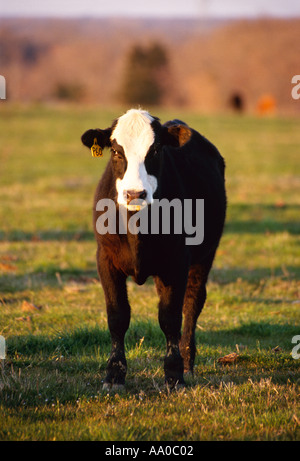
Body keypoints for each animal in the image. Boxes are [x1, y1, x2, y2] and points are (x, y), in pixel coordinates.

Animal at [81, 109, 226, 390]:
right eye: (116, 151)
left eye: (156, 149)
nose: (135, 193)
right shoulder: (105, 259)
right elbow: (117, 316)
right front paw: (113, 375)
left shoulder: (178, 261)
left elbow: (170, 317)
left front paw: (174, 375)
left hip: (205, 255)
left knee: (192, 302)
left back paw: (188, 363)